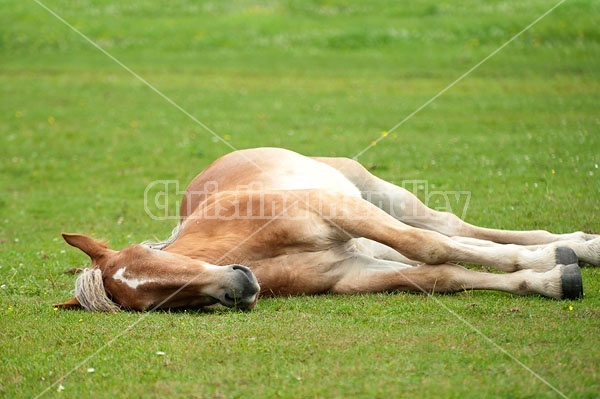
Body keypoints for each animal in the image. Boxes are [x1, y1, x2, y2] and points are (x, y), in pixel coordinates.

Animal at [57, 148, 600, 310]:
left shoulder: (337, 211)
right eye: (158, 303)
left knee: (445, 227)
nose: (239, 287)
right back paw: (570, 251)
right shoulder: (351, 271)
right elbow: (441, 274)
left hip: (374, 194)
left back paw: (578, 246)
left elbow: (429, 245)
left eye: (159, 255)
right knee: (452, 243)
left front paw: (554, 262)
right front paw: (554, 279)